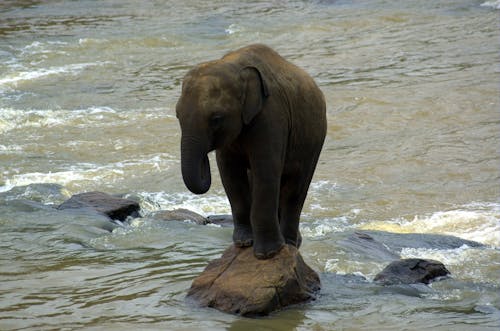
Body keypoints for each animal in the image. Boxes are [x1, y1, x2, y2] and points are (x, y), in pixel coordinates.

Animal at [177, 43, 328, 260]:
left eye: (216, 119)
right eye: (177, 115)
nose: (204, 159)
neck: (233, 67)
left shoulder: (271, 115)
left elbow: (265, 170)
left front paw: (267, 254)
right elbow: (230, 174)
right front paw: (243, 243)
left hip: (314, 140)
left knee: (296, 188)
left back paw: (290, 244)